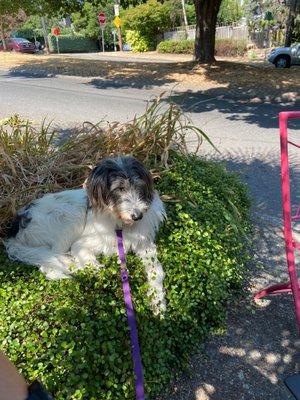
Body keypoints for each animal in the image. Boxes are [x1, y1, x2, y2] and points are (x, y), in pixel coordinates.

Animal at [5, 156, 166, 312]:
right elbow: (90, 264)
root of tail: (14, 231)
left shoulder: (145, 245)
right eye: (119, 188)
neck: (120, 223)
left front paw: (158, 302)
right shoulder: (80, 244)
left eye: (139, 186)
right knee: (51, 263)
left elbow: (156, 271)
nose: (138, 216)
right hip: (68, 219)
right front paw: (100, 272)